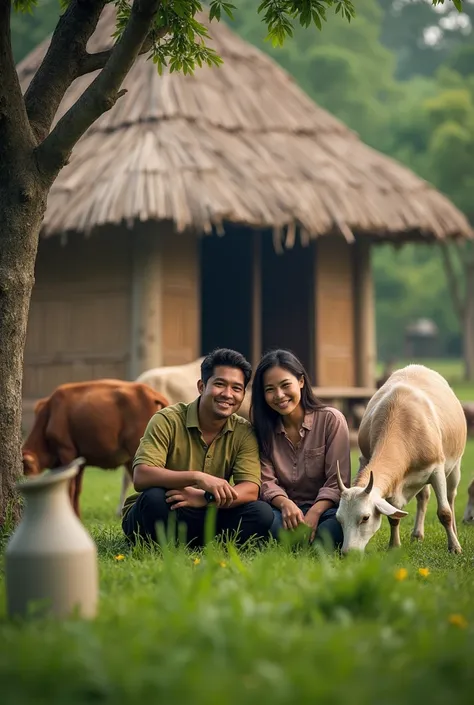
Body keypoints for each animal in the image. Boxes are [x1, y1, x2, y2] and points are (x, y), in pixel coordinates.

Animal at [23, 380, 170, 516]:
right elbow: (77, 489)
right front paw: (77, 515)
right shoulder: (79, 460)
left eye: (27, 470)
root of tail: (149, 392)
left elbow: (70, 487)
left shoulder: (67, 452)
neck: (49, 414)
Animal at [336, 366, 466, 552]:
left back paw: (454, 531)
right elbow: (394, 515)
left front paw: (454, 548)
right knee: (423, 496)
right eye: (339, 519)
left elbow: (444, 512)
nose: (347, 553)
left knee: (450, 497)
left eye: (365, 517)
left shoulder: (437, 469)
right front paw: (394, 546)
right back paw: (417, 534)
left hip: (455, 465)